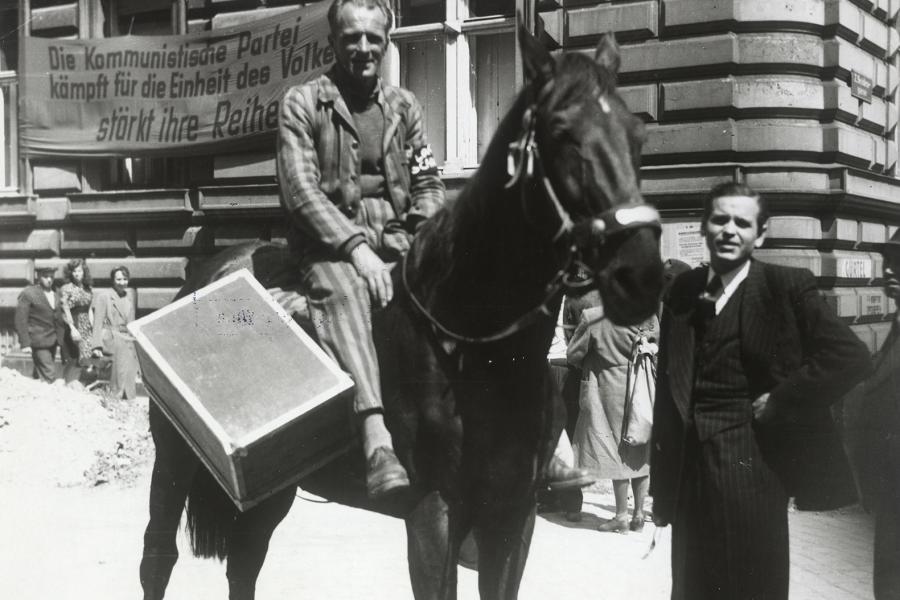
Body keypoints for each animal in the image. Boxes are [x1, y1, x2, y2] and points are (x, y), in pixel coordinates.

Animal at [139, 21, 660, 600]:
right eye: (561, 132)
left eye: (637, 137)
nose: (641, 274)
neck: (479, 352)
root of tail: (203, 275)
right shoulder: (433, 513)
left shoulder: (513, 515)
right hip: (174, 461)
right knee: (158, 557)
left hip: (272, 492)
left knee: (245, 561)